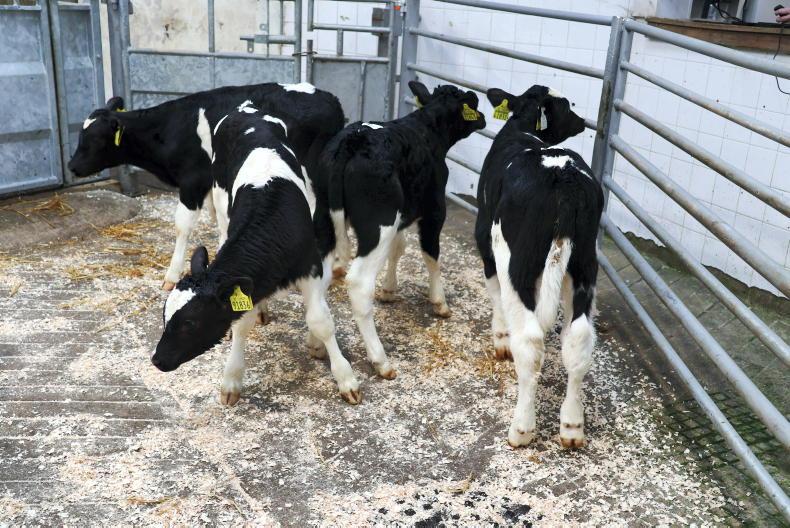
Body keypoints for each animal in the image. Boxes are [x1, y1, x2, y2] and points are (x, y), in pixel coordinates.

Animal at [68, 83, 345, 299]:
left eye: (94, 139)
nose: (71, 166)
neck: (170, 128)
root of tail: (330, 98)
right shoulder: (213, 186)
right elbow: (218, 218)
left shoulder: (193, 181)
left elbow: (182, 225)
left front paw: (171, 275)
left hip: (309, 175)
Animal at [151, 104, 360, 406]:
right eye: (165, 315)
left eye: (190, 322)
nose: (156, 359)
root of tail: (246, 108)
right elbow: (241, 323)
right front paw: (231, 379)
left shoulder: (311, 267)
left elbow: (320, 321)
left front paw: (345, 378)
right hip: (220, 201)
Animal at [311, 81, 486, 380]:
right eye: (471, 103)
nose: (484, 118)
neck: (427, 129)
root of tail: (352, 141)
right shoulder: (434, 209)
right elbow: (431, 254)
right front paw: (439, 302)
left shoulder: (402, 216)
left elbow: (399, 248)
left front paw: (389, 289)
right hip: (377, 225)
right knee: (358, 283)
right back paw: (380, 360)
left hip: (324, 219)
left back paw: (316, 344)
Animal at [475, 85, 602, 449]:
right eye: (566, 106)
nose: (583, 120)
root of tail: (564, 177)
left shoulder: (486, 242)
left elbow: (495, 295)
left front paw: (501, 340)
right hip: (585, 264)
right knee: (579, 338)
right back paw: (572, 426)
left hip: (516, 261)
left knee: (530, 341)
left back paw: (522, 428)